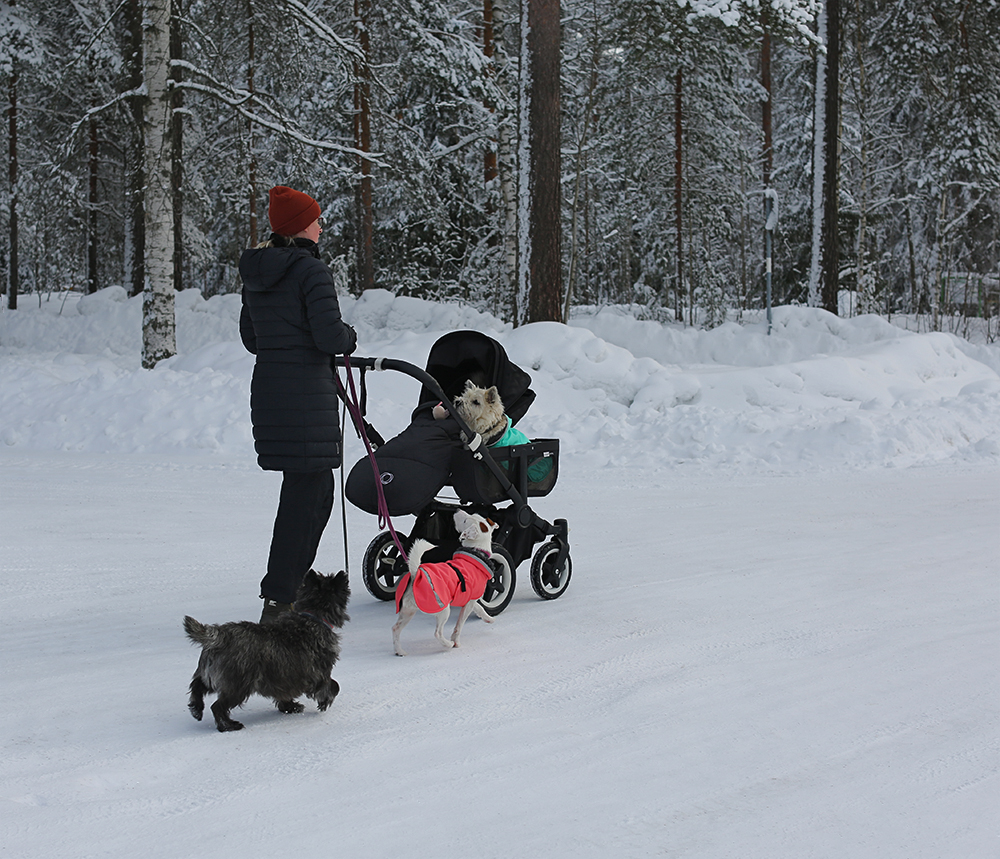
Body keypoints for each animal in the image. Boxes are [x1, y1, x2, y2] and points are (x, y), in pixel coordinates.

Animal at [184, 572, 352, 732]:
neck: (313, 617)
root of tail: (220, 635)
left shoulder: (285, 679)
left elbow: (285, 694)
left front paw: (289, 707)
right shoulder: (319, 674)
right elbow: (333, 685)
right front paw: (324, 701)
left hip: (209, 675)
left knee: (197, 686)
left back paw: (196, 709)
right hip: (238, 685)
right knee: (217, 706)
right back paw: (229, 725)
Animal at [392, 510, 498, 660]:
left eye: (466, 520)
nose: (457, 510)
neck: (477, 552)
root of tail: (415, 574)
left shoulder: (469, 599)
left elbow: (479, 608)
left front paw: (488, 619)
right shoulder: (468, 602)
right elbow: (459, 625)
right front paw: (456, 641)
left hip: (408, 611)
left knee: (395, 628)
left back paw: (399, 651)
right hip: (443, 608)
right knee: (437, 633)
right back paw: (448, 644)